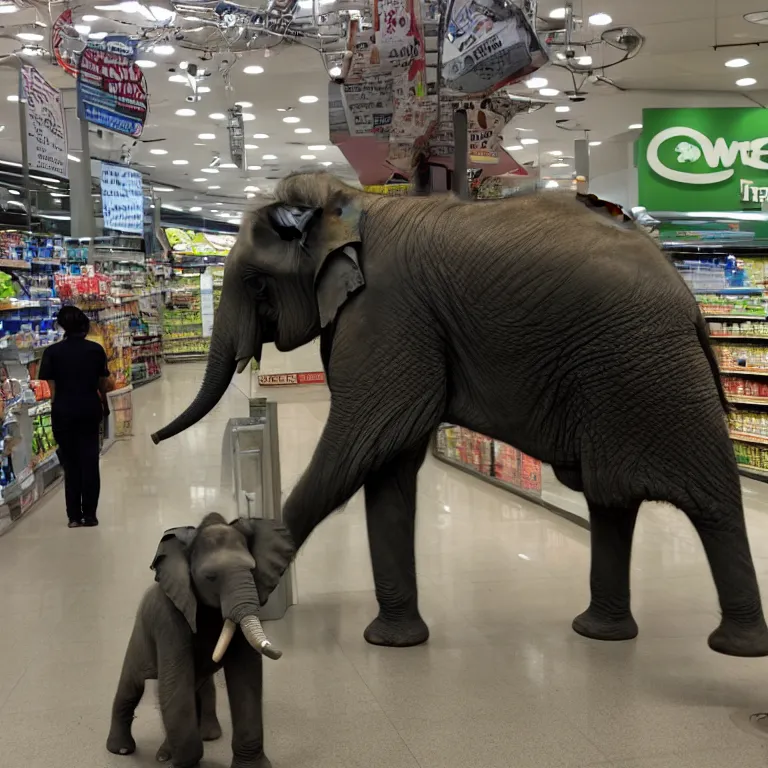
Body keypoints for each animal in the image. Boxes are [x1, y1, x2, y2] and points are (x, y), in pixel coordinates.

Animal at [108, 512, 296, 768]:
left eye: (252, 570)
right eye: (211, 577)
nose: (279, 651)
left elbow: (246, 678)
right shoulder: (168, 618)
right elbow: (174, 686)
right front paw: (184, 764)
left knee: (200, 687)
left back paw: (204, 737)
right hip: (139, 635)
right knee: (131, 684)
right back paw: (124, 750)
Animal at [153, 172, 768, 656]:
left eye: (256, 283)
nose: (155, 439)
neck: (343, 205)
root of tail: (688, 298)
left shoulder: (388, 311)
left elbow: (362, 440)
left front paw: (254, 573)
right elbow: (388, 466)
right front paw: (393, 644)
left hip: (646, 371)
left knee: (710, 500)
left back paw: (735, 647)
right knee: (611, 501)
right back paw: (601, 633)